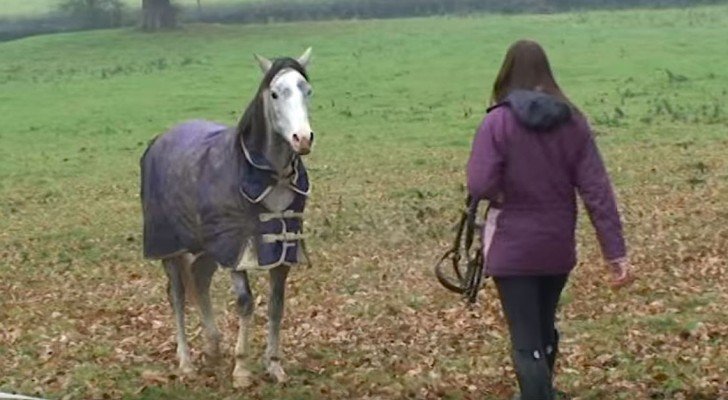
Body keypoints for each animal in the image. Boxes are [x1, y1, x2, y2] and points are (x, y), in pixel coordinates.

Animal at [140, 48, 314, 388]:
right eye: (275, 93)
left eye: (307, 90)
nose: (302, 138)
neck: (268, 177)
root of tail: (159, 139)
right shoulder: (237, 249)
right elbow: (246, 303)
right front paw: (242, 369)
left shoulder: (282, 251)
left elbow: (277, 304)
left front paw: (274, 366)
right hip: (171, 248)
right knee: (177, 296)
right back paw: (186, 363)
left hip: (206, 248)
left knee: (200, 281)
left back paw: (213, 346)